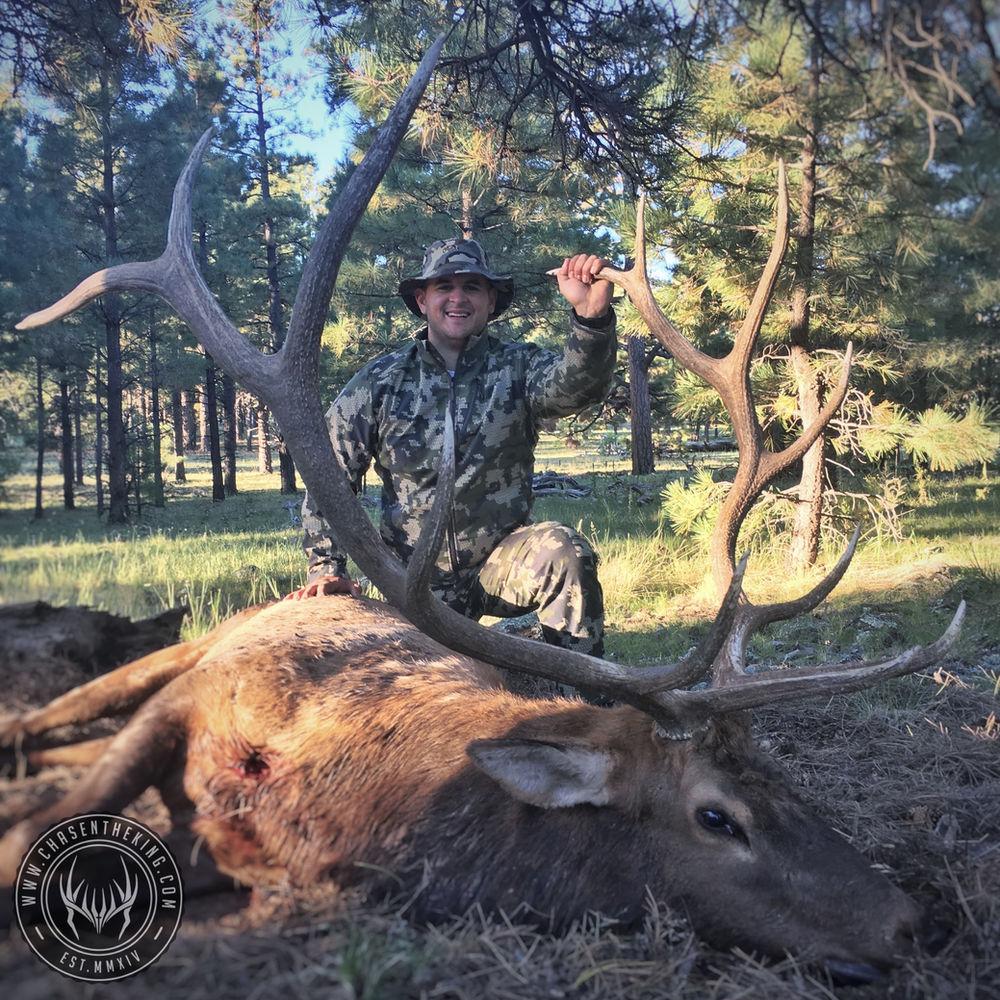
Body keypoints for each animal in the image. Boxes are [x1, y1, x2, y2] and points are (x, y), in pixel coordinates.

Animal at [2, 33, 964, 985]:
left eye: (783, 774)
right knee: (57, 716)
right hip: (191, 645)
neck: (328, 807)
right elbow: (39, 827)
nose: (910, 924)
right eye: (717, 816)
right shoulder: (193, 697)